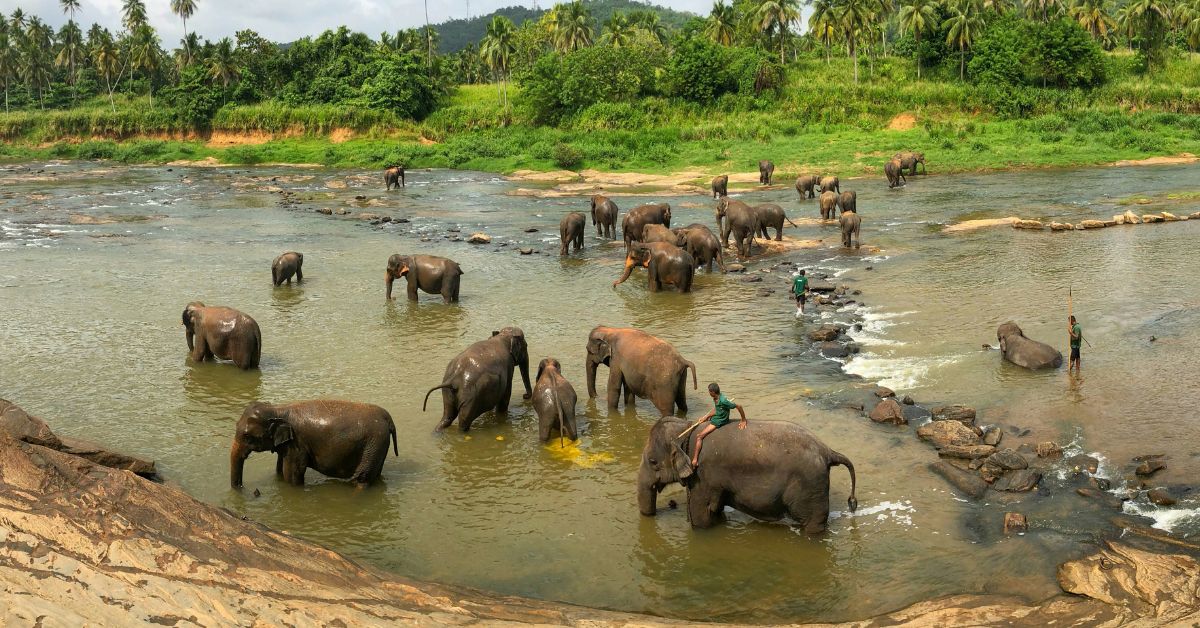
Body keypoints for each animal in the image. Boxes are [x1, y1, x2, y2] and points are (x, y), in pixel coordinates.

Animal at [231, 403, 400, 492]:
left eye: (247, 436)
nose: (242, 487)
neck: (278, 409)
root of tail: (388, 417)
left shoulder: (297, 445)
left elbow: (292, 476)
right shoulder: (287, 445)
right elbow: (280, 469)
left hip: (373, 445)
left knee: (362, 479)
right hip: (379, 446)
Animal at [633, 417, 859, 535]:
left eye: (652, 461)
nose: (665, 508)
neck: (687, 428)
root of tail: (827, 451)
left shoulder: (703, 475)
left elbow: (700, 513)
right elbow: (714, 510)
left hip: (810, 487)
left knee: (813, 523)